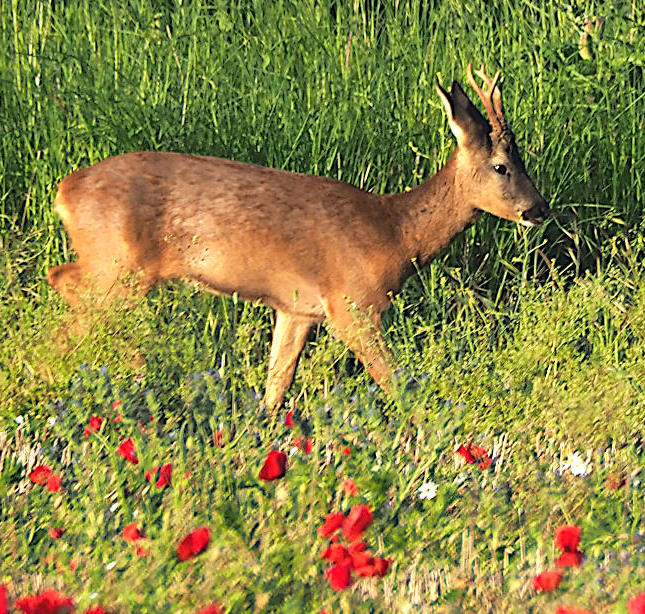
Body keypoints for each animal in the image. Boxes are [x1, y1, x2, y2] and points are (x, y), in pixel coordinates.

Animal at [47, 63, 549, 410]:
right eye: (501, 167)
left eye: (523, 160)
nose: (539, 209)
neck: (396, 234)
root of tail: (63, 191)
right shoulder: (352, 306)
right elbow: (394, 381)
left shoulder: (297, 309)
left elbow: (277, 385)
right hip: (118, 267)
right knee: (70, 307)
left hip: (114, 267)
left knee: (64, 282)